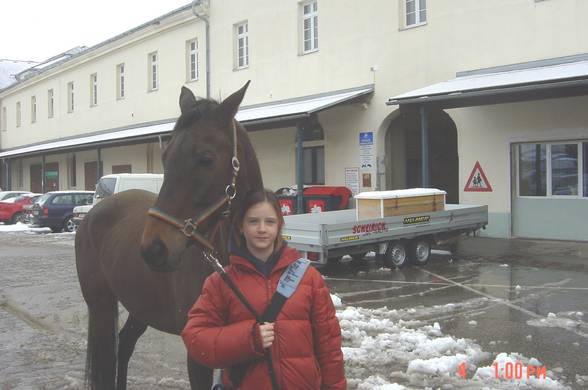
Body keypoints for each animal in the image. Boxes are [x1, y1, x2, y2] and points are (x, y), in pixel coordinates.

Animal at [75, 83, 262, 390]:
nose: (154, 248)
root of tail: (93, 212)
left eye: (206, 158)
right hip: (101, 306)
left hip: (140, 305)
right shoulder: (198, 356)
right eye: (165, 157)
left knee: (124, 346)